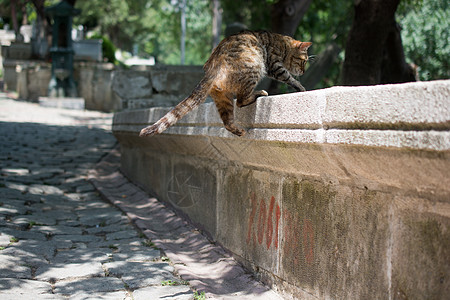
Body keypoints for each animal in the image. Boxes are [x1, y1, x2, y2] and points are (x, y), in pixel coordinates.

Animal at [141, 29, 312, 137]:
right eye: (304, 61)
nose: (304, 71)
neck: (283, 43)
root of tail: (212, 68)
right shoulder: (274, 64)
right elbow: (288, 77)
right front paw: (301, 87)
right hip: (255, 66)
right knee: (241, 101)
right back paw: (259, 93)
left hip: (223, 98)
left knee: (228, 120)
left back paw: (239, 131)